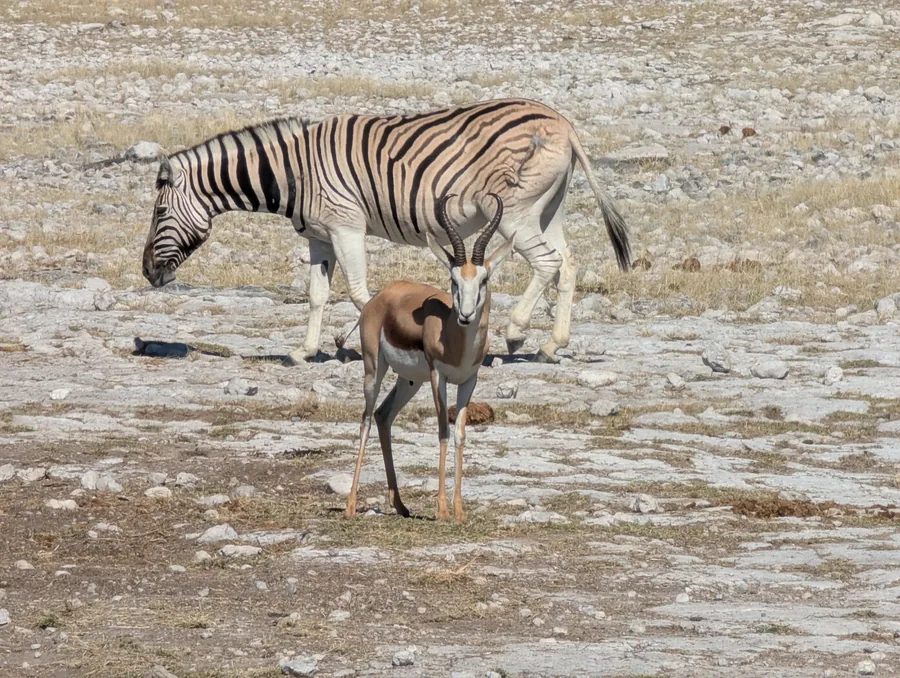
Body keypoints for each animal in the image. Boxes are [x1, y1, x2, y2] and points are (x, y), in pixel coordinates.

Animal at [142, 98, 632, 363]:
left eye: (160, 211)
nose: (147, 272)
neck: (295, 171)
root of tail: (562, 123)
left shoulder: (346, 227)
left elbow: (361, 294)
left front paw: (352, 341)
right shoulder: (319, 236)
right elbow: (317, 294)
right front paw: (305, 351)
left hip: (515, 213)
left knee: (547, 263)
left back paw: (515, 332)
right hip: (548, 209)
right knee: (568, 264)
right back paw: (552, 344)